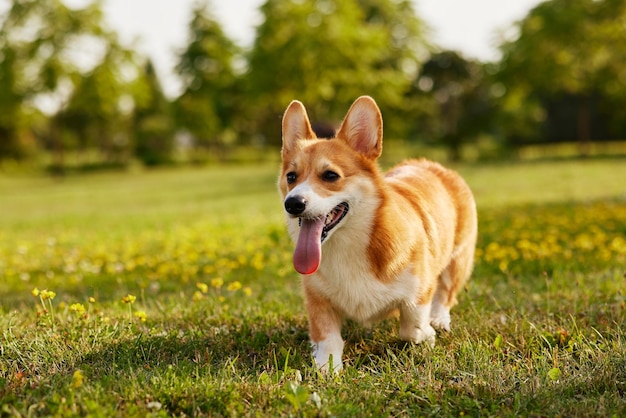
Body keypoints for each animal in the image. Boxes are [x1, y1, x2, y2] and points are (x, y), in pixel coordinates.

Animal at [276, 97, 476, 372]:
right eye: (291, 177)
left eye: (330, 175)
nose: (293, 203)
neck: (348, 245)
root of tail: (431, 164)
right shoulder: (317, 299)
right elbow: (327, 338)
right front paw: (327, 368)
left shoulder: (420, 288)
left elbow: (412, 325)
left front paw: (426, 334)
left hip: (458, 258)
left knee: (446, 293)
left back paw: (439, 320)